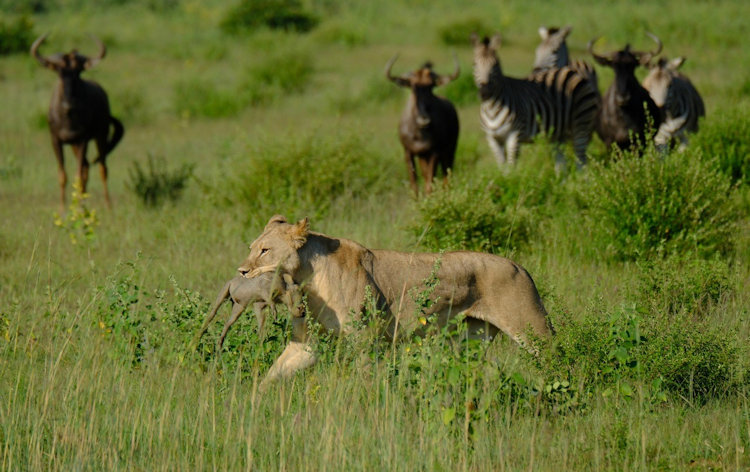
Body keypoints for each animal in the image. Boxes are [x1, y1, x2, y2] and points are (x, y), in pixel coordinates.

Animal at [472, 32, 604, 168]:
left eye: (496, 65)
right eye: (474, 64)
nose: (484, 93)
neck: (492, 107)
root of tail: (572, 70)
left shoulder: (515, 134)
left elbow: (512, 167)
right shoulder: (493, 139)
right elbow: (503, 168)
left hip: (581, 122)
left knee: (581, 161)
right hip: (559, 133)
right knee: (562, 165)